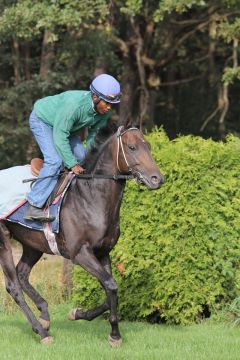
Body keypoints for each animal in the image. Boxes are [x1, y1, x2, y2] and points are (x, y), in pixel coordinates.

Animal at [0, 123, 164, 346]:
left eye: (148, 146)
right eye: (132, 147)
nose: (158, 179)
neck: (91, 197)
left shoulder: (103, 253)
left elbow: (109, 290)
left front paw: (77, 314)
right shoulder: (80, 254)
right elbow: (111, 286)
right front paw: (115, 335)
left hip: (32, 244)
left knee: (22, 274)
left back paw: (44, 317)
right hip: (3, 240)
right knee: (13, 286)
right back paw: (42, 333)